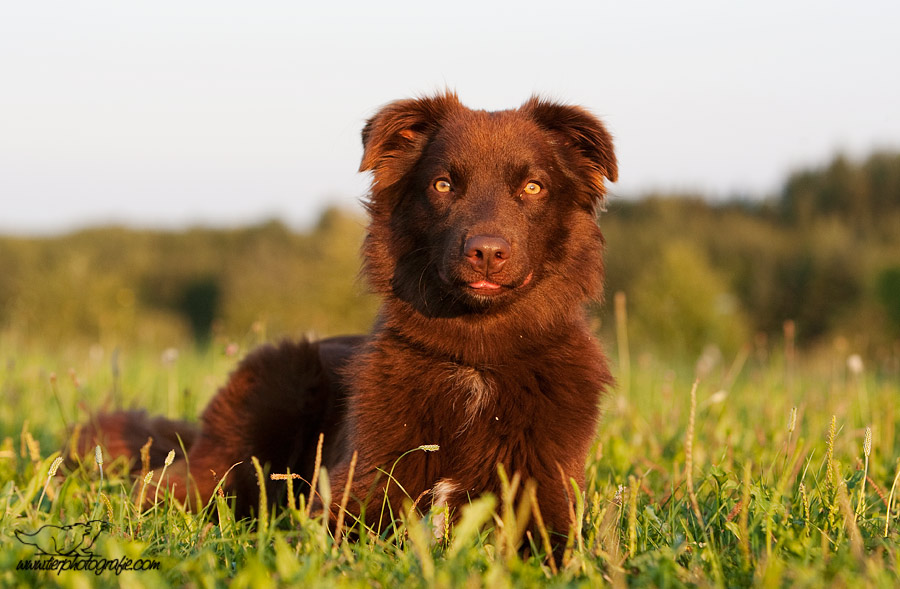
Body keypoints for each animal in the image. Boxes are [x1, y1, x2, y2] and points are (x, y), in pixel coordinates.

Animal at [81, 90, 620, 548]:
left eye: (533, 186)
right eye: (443, 184)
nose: (486, 252)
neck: (475, 358)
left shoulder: (547, 494)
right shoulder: (355, 486)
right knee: (165, 488)